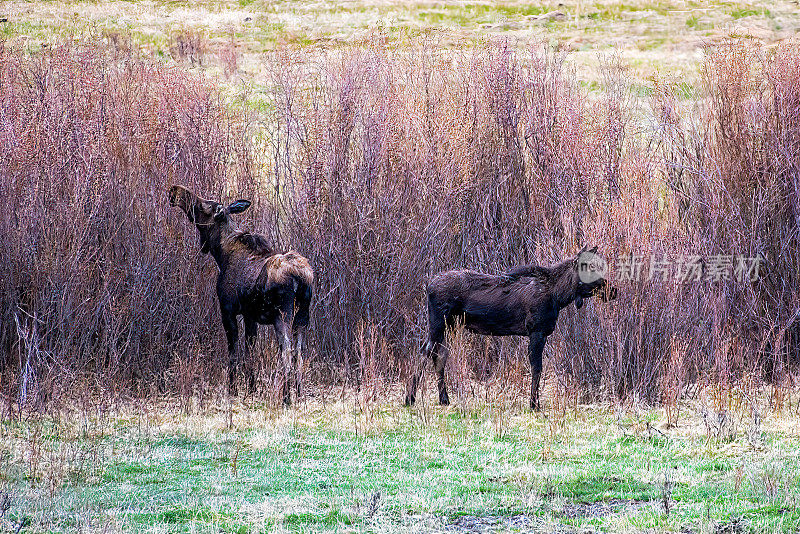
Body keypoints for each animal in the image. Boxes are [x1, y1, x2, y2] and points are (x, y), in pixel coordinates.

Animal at [167, 186, 314, 404]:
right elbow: (250, 352)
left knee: (286, 350)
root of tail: (301, 277)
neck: (220, 253)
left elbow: (234, 353)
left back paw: (287, 397)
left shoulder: (228, 311)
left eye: (202, 206)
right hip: (303, 316)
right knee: (299, 352)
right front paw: (252, 389)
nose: (174, 192)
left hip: (283, 315)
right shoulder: (250, 315)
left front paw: (233, 390)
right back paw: (299, 393)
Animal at [406, 249, 620, 412]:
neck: (559, 297)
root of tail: (428, 285)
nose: (613, 290)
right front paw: (534, 404)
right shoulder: (536, 331)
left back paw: (443, 399)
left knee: (439, 354)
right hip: (438, 322)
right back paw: (410, 398)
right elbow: (537, 368)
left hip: (449, 325)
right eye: (590, 268)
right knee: (425, 351)